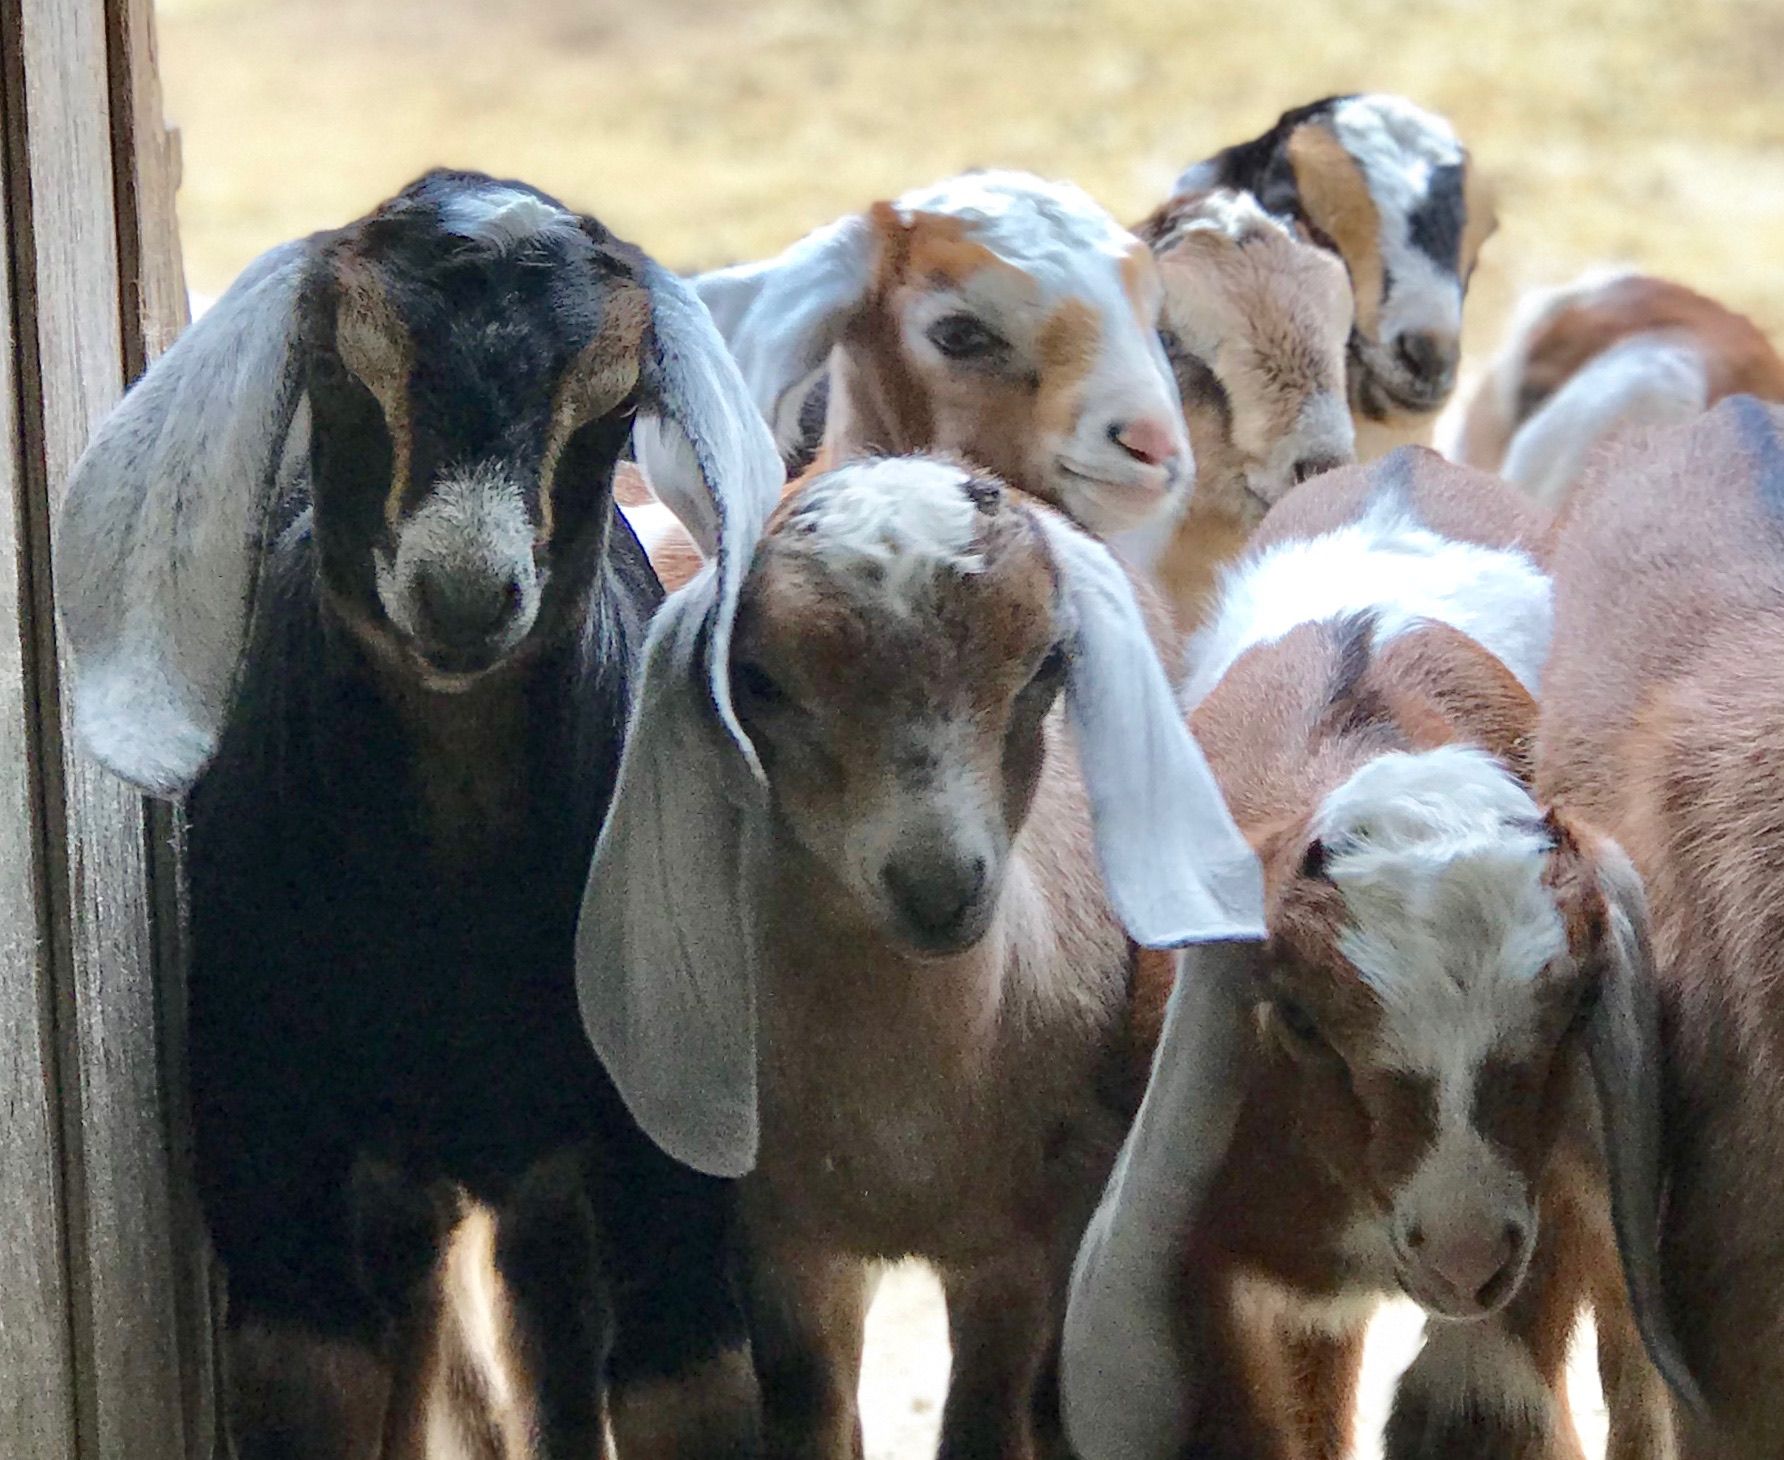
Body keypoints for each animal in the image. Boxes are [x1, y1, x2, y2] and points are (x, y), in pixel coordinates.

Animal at [54, 169, 782, 1459]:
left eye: (614, 397)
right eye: (338, 364)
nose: (463, 592)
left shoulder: (660, 1159)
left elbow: (670, 1384)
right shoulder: (279, 1174)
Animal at [576, 455, 1266, 1457]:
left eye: (1048, 664)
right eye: (759, 680)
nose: (939, 887)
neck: (902, 1122)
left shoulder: (1029, 1241)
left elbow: (984, 1421)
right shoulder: (779, 1241)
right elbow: (814, 1415)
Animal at [1063, 449, 1696, 1460]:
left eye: (1572, 1008)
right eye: (1299, 1018)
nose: (1462, 1251)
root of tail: (1406, 461)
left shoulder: (1549, 1206)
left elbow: (1482, 1408)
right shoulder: (1231, 1258)